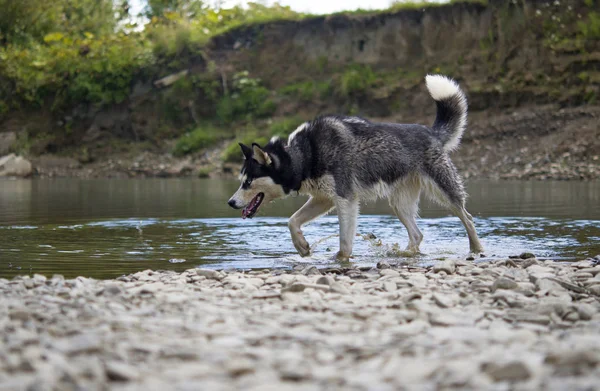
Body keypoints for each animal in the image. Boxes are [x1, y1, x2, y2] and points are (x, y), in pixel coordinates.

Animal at [227, 75, 486, 262]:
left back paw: (476, 249)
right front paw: (301, 246)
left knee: (468, 217)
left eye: (247, 182)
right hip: (399, 204)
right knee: (417, 234)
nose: (230, 202)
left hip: (444, 191)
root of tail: (431, 132)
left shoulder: (346, 200)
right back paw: (406, 254)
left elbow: (344, 241)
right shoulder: (324, 199)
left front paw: (340, 259)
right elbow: (292, 221)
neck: (305, 154)